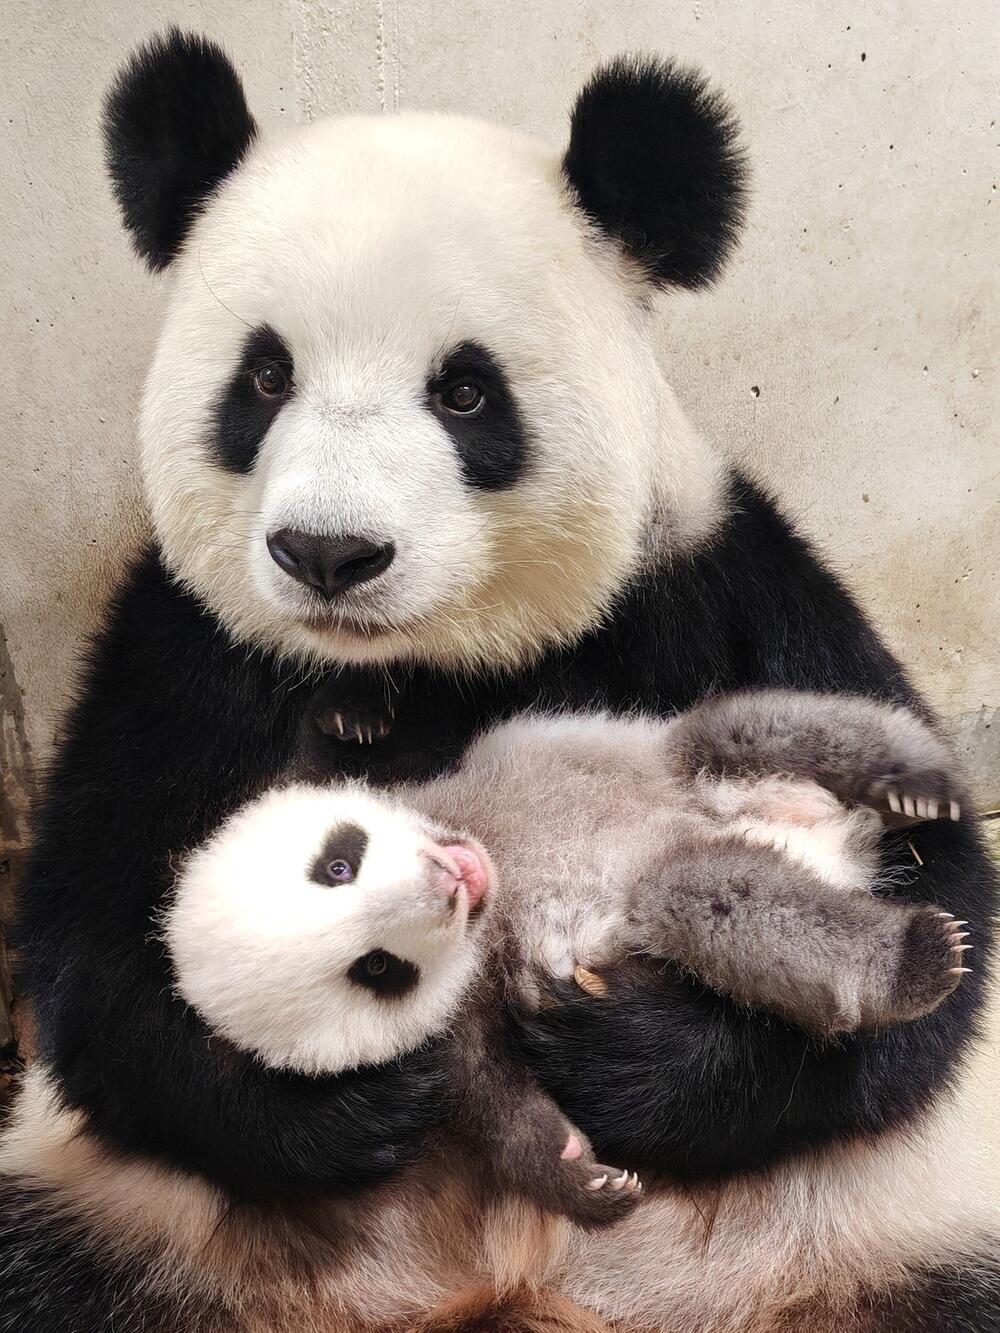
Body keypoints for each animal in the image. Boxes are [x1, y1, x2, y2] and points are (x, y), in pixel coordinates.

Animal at [0, 25, 997, 1333]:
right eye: (263, 379)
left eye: (464, 390)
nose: (328, 553)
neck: (427, 661)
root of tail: (505, 1293)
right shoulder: (181, 646)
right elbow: (94, 946)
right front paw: (357, 1100)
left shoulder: (709, 578)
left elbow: (943, 946)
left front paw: (623, 1055)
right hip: (137, 1221)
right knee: (57, 1259)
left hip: (882, 1216)